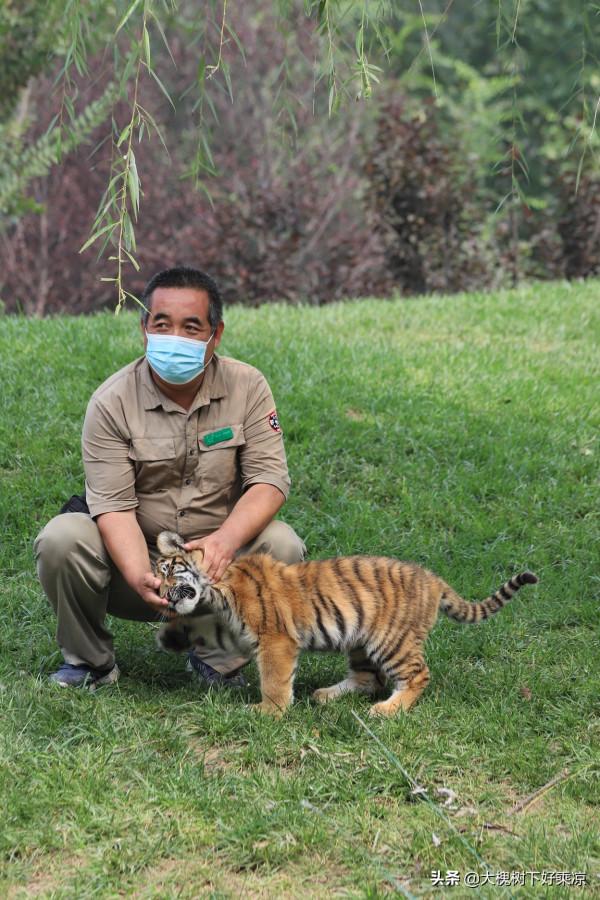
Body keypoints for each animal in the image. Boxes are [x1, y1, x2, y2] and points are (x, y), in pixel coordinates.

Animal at [154, 531, 538, 717]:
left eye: (167, 570)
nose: (159, 594)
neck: (217, 587)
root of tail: (433, 579)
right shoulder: (234, 629)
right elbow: (205, 631)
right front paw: (170, 637)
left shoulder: (275, 638)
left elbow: (274, 680)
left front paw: (268, 712)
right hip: (361, 642)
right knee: (369, 679)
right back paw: (325, 695)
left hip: (391, 641)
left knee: (418, 675)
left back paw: (387, 711)